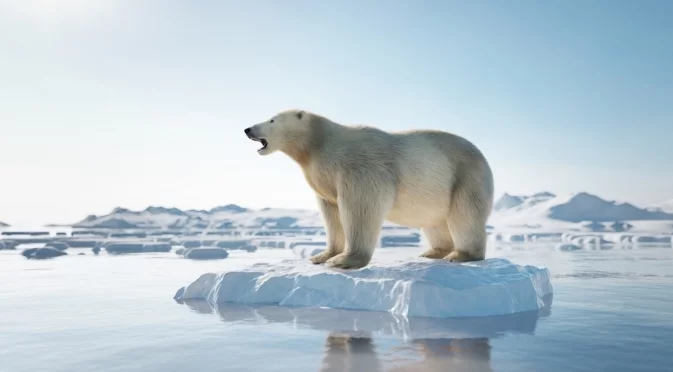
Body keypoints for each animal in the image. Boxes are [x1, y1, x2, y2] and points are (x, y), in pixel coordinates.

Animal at [245, 109, 494, 268]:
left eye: (271, 120)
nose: (248, 129)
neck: (320, 144)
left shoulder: (359, 167)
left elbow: (360, 207)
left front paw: (343, 260)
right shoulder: (323, 178)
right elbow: (331, 213)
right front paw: (321, 256)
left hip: (465, 177)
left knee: (464, 215)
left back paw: (460, 254)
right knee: (434, 221)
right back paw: (433, 252)